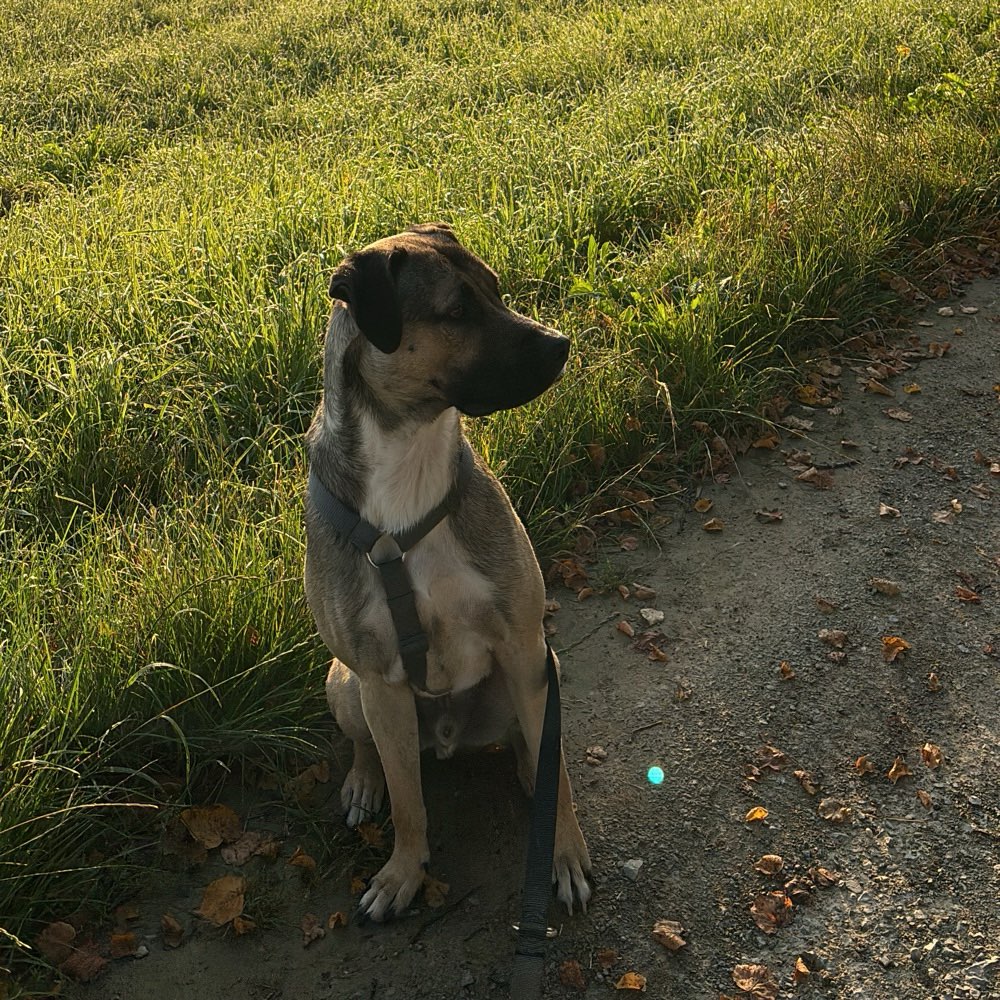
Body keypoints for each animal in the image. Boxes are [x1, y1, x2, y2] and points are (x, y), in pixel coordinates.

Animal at [300, 221, 588, 920]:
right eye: (456, 311)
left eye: (496, 288)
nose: (561, 344)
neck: (409, 460)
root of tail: (452, 736)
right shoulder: (379, 678)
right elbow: (409, 804)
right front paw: (403, 872)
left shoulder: (522, 644)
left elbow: (558, 775)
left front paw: (562, 853)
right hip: (346, 686)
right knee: (373, 750)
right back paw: (362, 781)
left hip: (537, 670)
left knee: (535, 746)